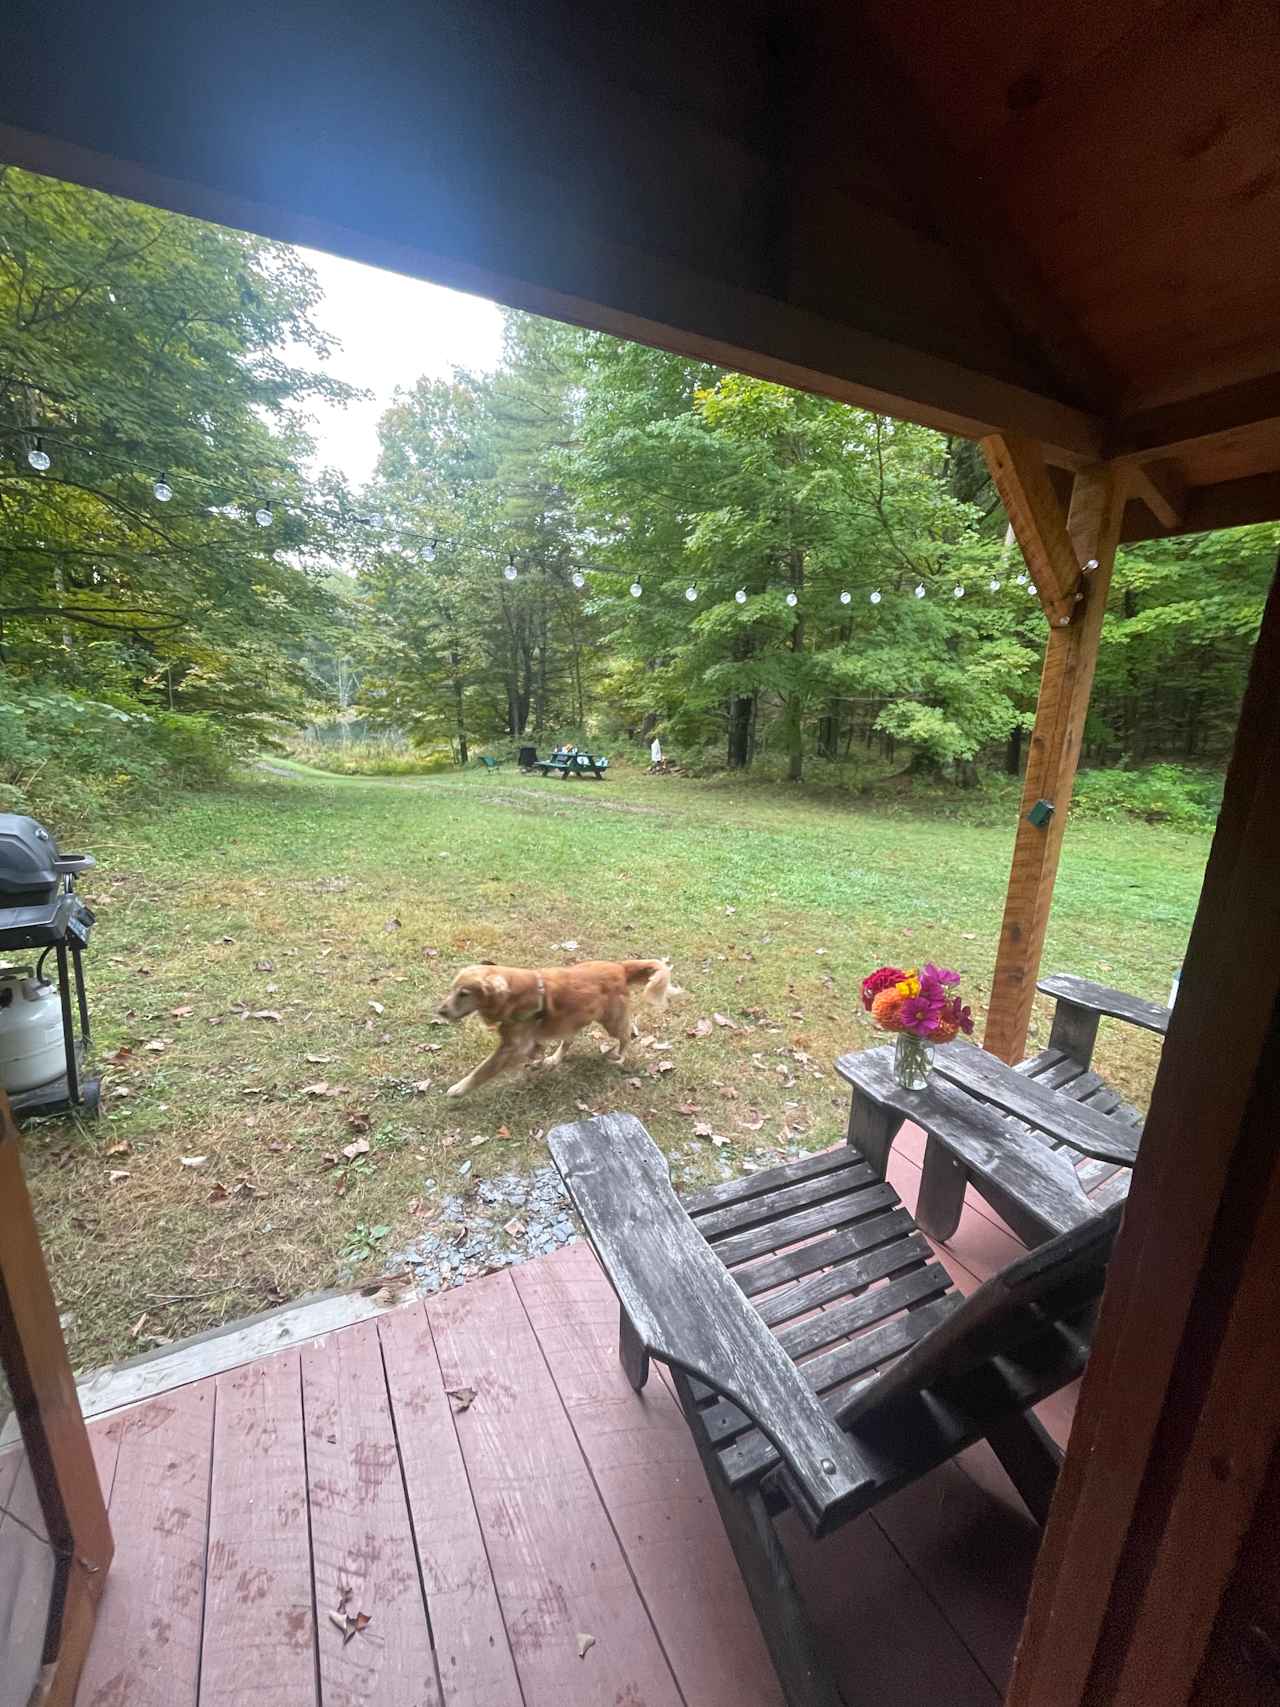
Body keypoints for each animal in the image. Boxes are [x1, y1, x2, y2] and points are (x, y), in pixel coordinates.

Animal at [436, 955, 672, 1099]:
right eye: (453, 990)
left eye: (464, 993)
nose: (440, 1012)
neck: (514, 993)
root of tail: (620, 967)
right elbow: (534, 1050)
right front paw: (538, 1059)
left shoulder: (511, 1047)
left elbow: (482, 1069)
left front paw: (459, 1088)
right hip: (572, 1019)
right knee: (569, 1040)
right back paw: (554, 1058)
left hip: (611, 1021)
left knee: (626, 1035)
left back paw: (619, 1057)